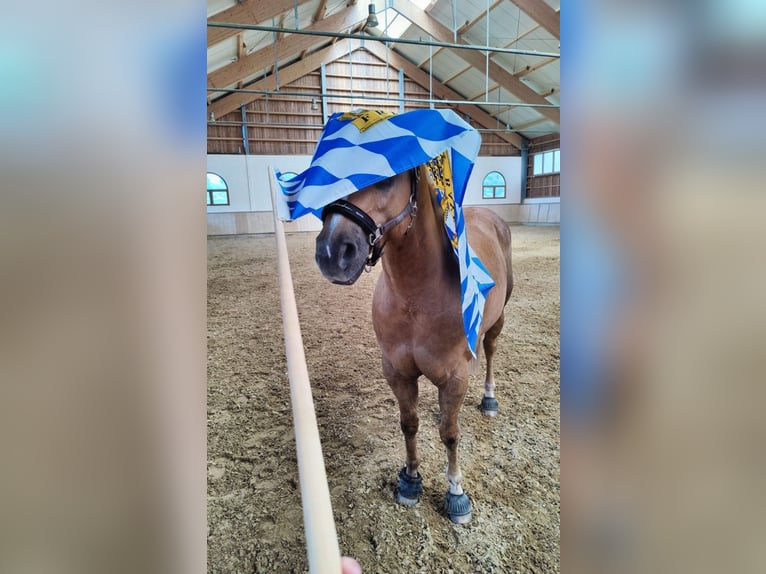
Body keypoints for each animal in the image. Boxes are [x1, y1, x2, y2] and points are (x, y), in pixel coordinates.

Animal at [316, 163, 512, 528]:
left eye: (388, 175)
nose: (331, 253)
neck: (416, 298)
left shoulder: (454, 377)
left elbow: (450, 434)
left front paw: (456, 493)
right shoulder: (398, 372)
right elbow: (409, 424)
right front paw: (409, 479)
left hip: (499, 317)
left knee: (491, 349)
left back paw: (489, 398)